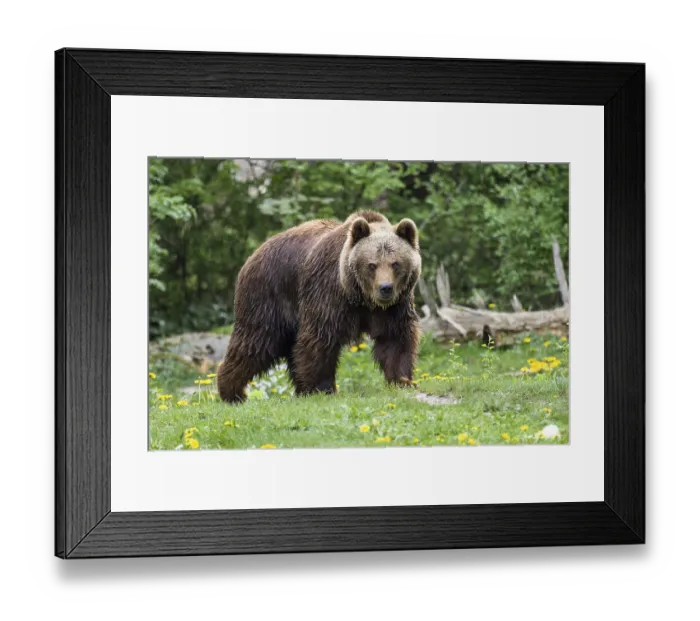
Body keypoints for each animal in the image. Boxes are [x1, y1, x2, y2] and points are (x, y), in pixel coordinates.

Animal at [217, 210, 422, 403]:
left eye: (395, 263)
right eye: (372, 265)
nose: (385, 288)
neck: (361, 298)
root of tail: (254, 254)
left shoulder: (394, 308)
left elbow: (396, 339)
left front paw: (403, 380)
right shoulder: (327, 294)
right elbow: (320, 339)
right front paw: (322, 388)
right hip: (268, 297)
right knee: (255, 342)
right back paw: (233, 392)